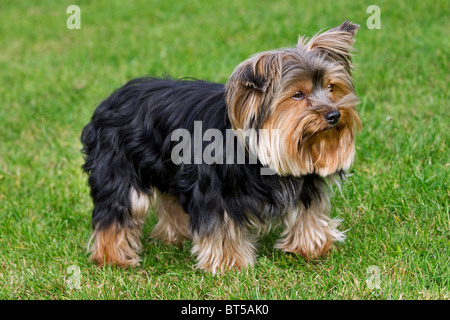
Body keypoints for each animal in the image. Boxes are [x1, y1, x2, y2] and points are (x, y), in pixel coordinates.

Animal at [81, 20, 362, 274]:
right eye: (298, 95)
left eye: (331, 87)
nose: (334, 115)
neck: (255, 152)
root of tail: (112, 99)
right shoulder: (214, 191)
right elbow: (221, 228)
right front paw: (229, 264)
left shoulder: (303, 181)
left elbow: (307, 211)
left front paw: (313, 246)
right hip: (119, 167)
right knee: (116, 210)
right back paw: (112, 258)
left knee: (170, 199)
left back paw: (175, 236)